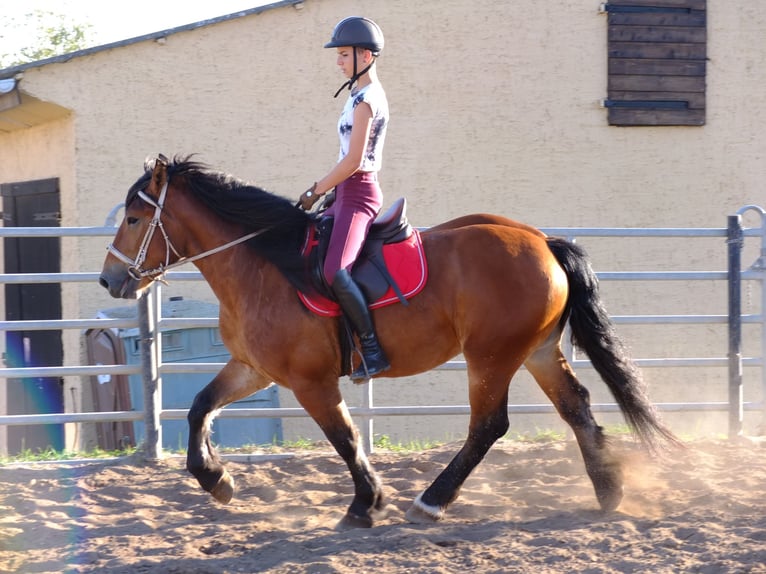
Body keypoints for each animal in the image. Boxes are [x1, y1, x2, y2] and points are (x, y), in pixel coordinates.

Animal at [99, 155, 680, 528]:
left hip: (491, 356)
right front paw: (215, 480)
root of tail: (540, 240)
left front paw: (367, 503)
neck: (263, 265)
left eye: (134, 218)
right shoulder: (253, 367)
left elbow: (345, 438)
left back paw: (431, 501)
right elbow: (199, 406)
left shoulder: (310, 381)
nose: (109, 280)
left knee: (489, 425)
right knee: (576, 406)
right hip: (535, 351)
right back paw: (608, 491)